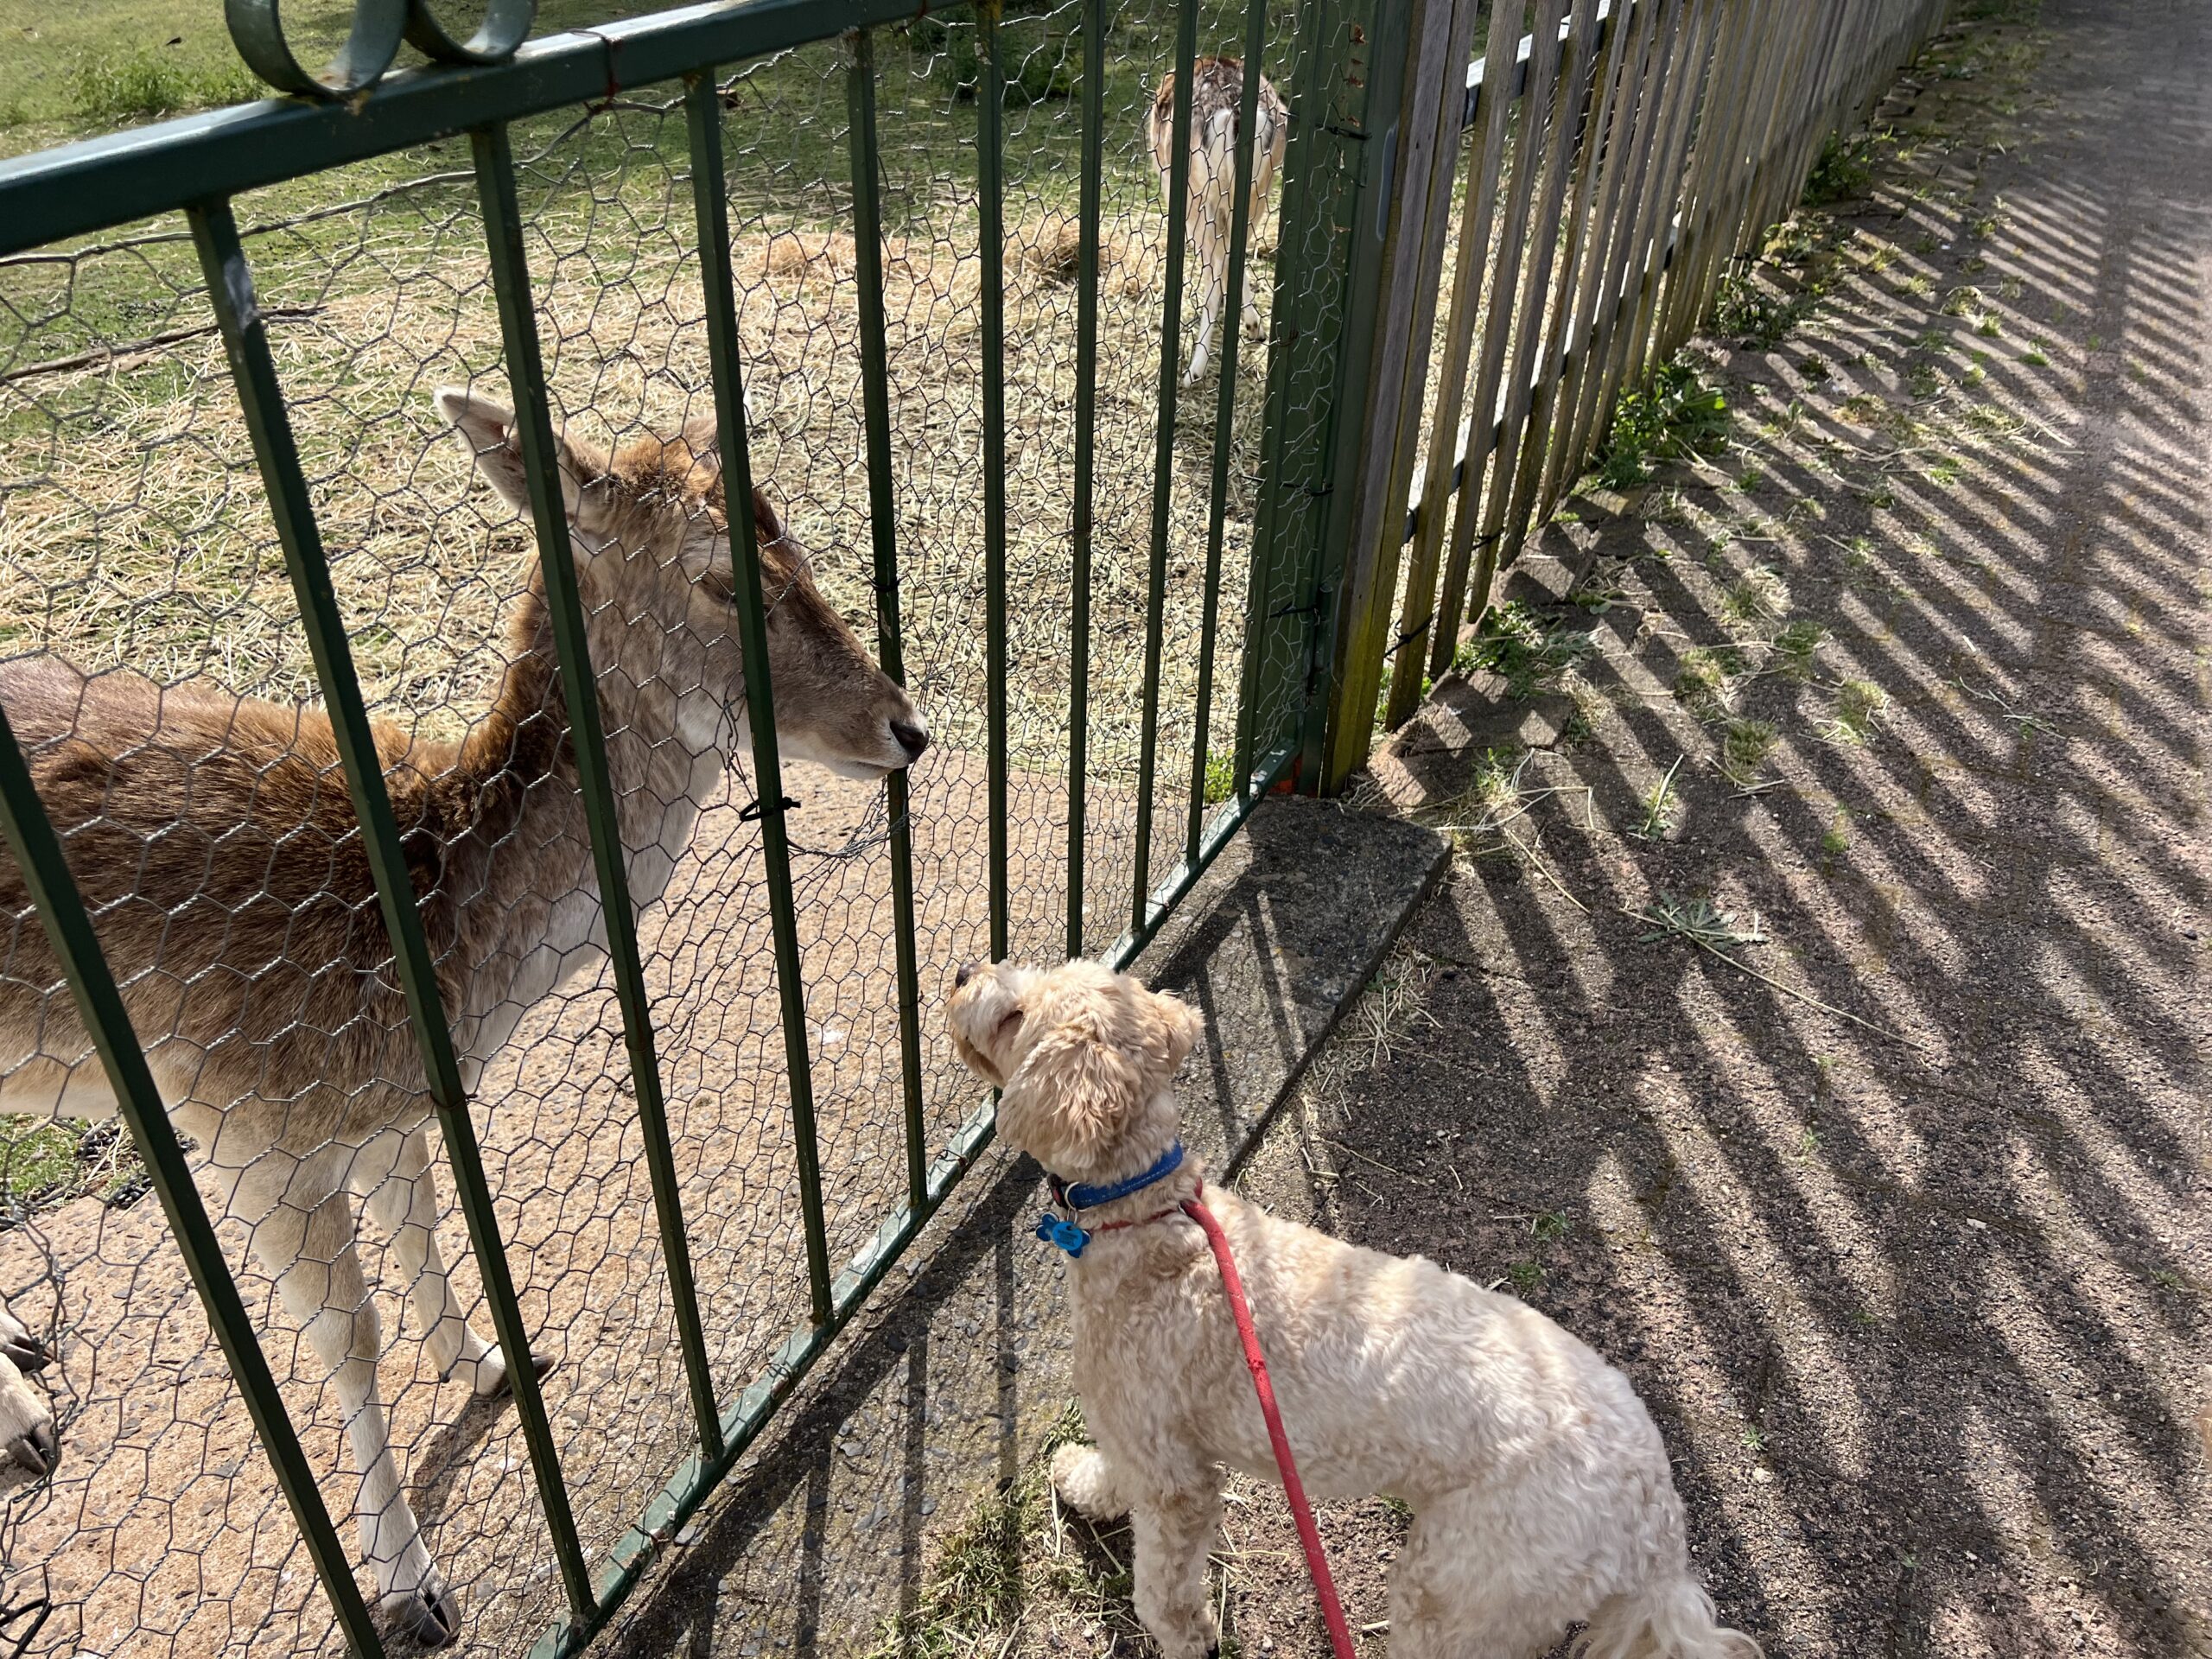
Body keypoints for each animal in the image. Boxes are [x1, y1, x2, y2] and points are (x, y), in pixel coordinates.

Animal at [0, 387, 928, 1645]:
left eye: (795, 542)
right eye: (718, 576)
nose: (906, 727)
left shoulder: (390, 1106)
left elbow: (422, 1226)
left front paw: (489, 1359)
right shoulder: (248, 1133)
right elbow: (348, 1342)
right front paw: (410, 1586)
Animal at [1149, 55, 1289, 386]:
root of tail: (1232, 112)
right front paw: (1253, 325)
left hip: (1199, 195)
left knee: (1214, 269)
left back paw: (1193, 370)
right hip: (1259, 191)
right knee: (1232, 254)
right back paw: (1254, 327)